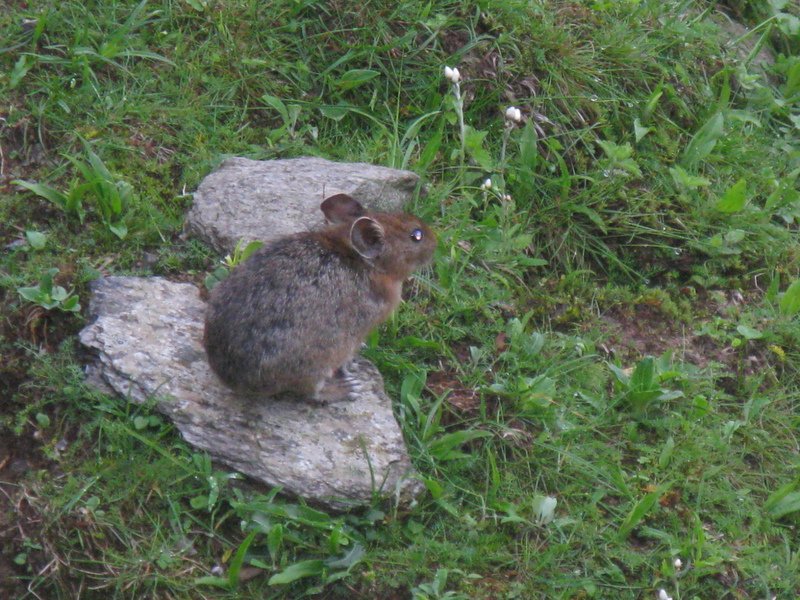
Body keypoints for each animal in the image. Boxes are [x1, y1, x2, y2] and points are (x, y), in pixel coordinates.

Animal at [203, 193, 436, 402]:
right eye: (416, 235)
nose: (436, 239)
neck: (364, 263)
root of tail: (235, 380)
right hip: (315, 360)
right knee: (310, 391)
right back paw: (346, 389)